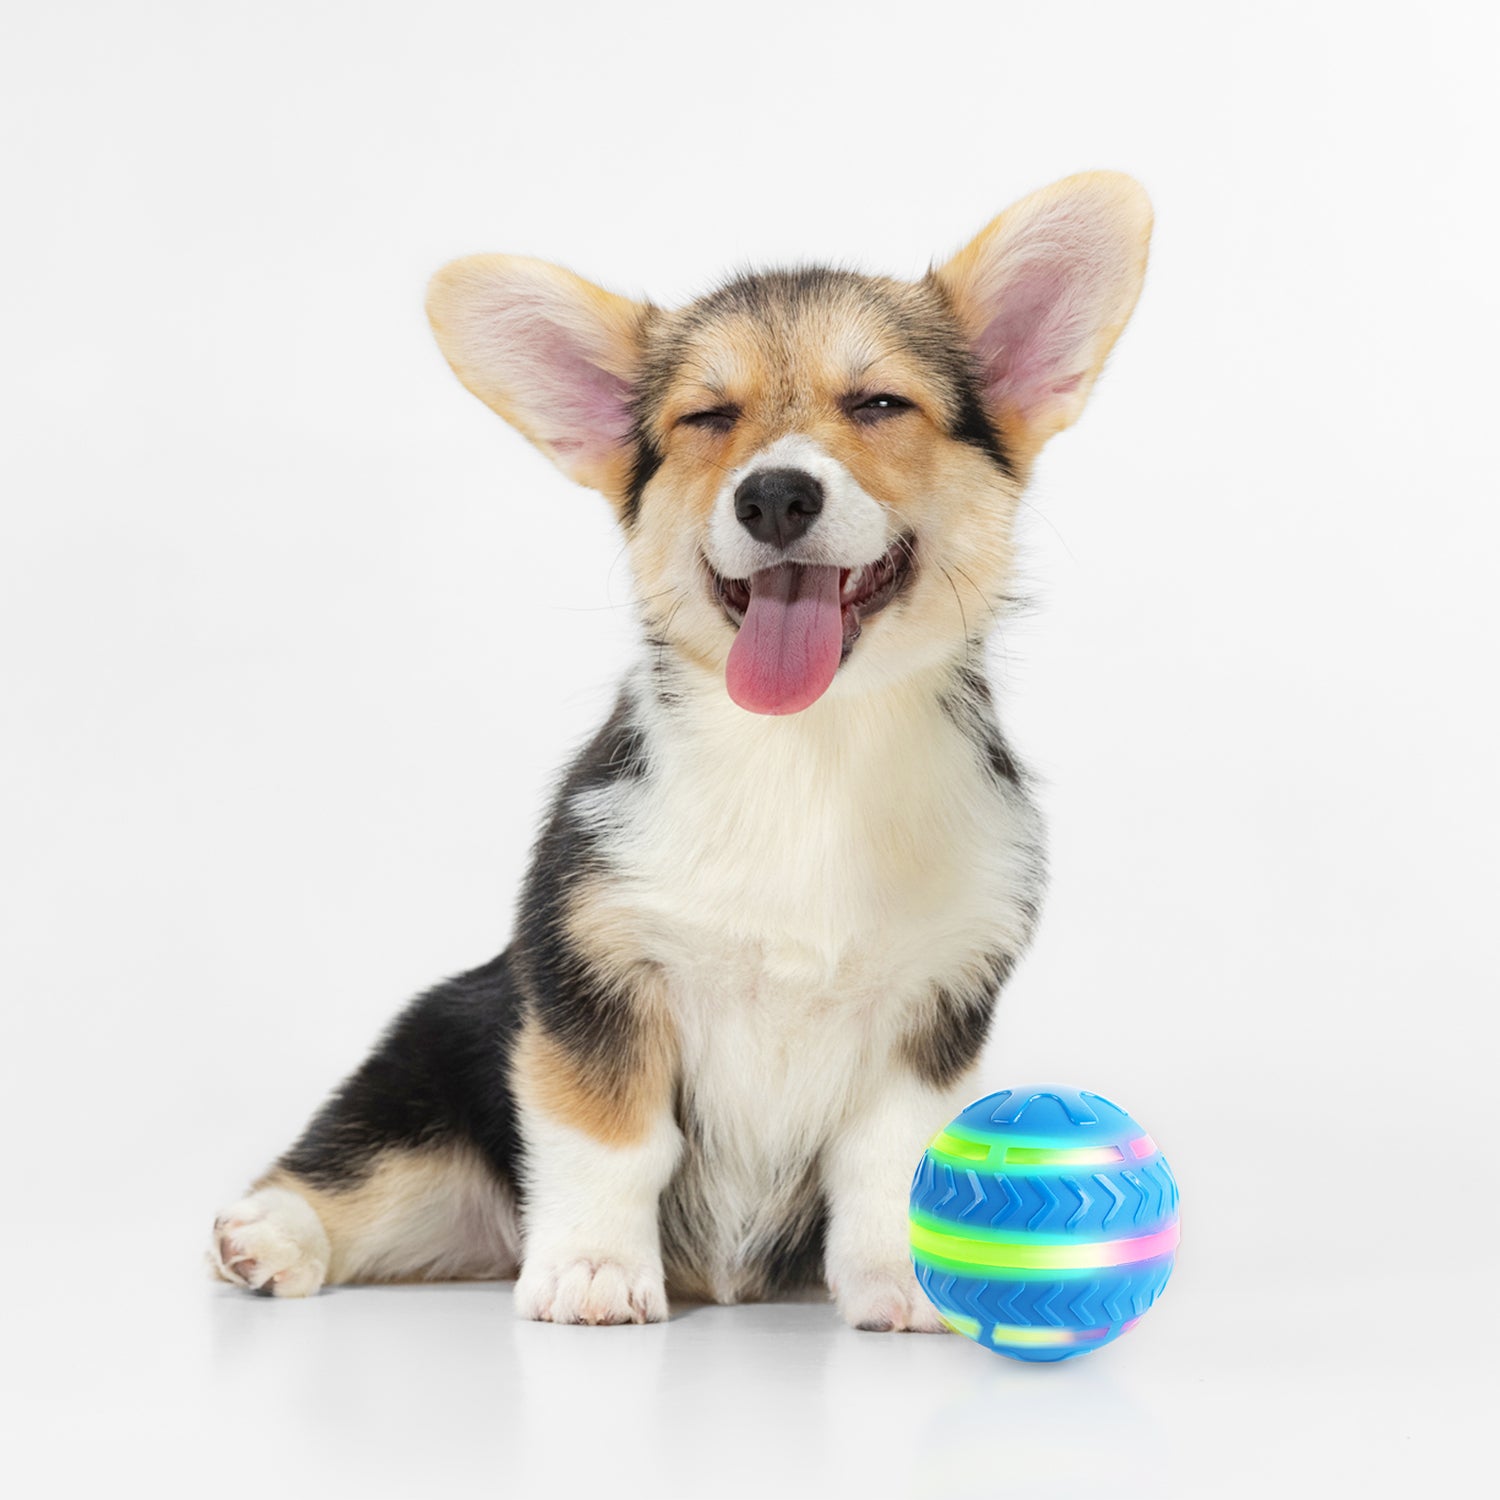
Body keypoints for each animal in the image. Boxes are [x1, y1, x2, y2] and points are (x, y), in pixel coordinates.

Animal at [208, 170, 1146, 1332]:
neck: (809, 753)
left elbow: (885, 1161)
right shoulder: (593, 970)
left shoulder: (936, 1007)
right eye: (707, 418)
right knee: (350, 1170)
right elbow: (611, 1139)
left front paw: (905, 1278)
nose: (775, 494)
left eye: (879, 405)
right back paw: (268, 1237)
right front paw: (594, 1272)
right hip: (433, 1067)